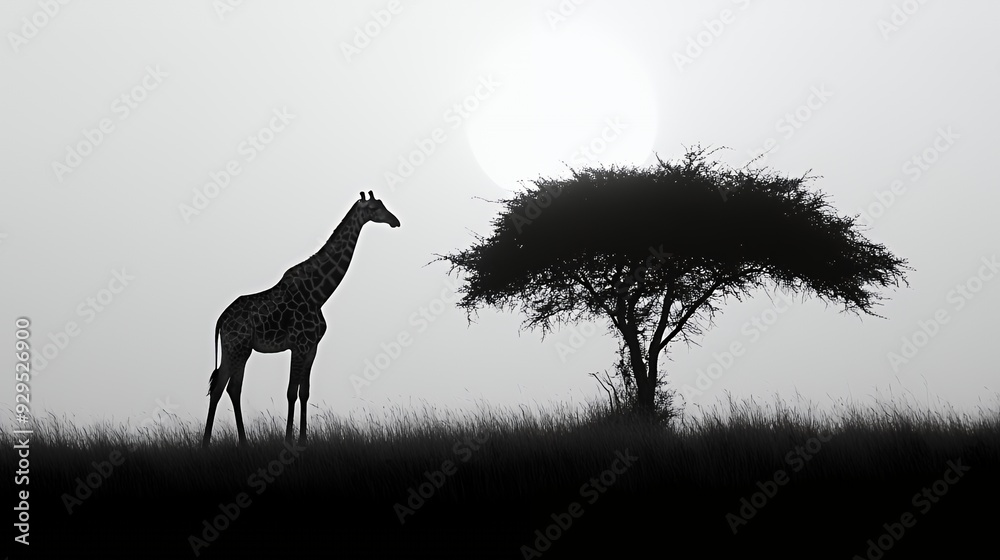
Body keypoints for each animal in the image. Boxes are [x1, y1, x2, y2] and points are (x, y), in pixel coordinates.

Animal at [201, 190, 400, 448]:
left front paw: (304, 440)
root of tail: (220, 320)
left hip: (234, 349)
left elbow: (304, 391)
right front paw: (288, 440)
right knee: (227, 387)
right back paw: (220, 443)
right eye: (375, 208)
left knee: (226, 387)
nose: (395, 221)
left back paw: (228, 443)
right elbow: (290, 391)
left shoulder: (312, 347)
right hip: (238, 348)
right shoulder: (299, 344)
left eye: (382, 204)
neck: (319, 294)